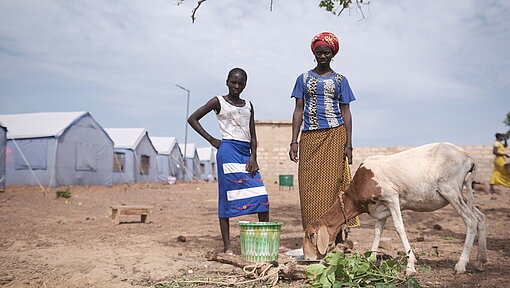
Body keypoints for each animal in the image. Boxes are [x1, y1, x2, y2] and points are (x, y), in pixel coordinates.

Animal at [302, 142, 486, 274]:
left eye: (311, 235)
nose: (308, 259)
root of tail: (468, 157)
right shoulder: (380, 210)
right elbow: (377, 232)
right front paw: (370, 260)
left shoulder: (392, 198)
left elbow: (399, 228)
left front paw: (410, 265)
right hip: (462, 192)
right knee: (480, 217)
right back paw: (481, 261)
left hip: (450, 191)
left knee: (471, 220)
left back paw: (461, 265)